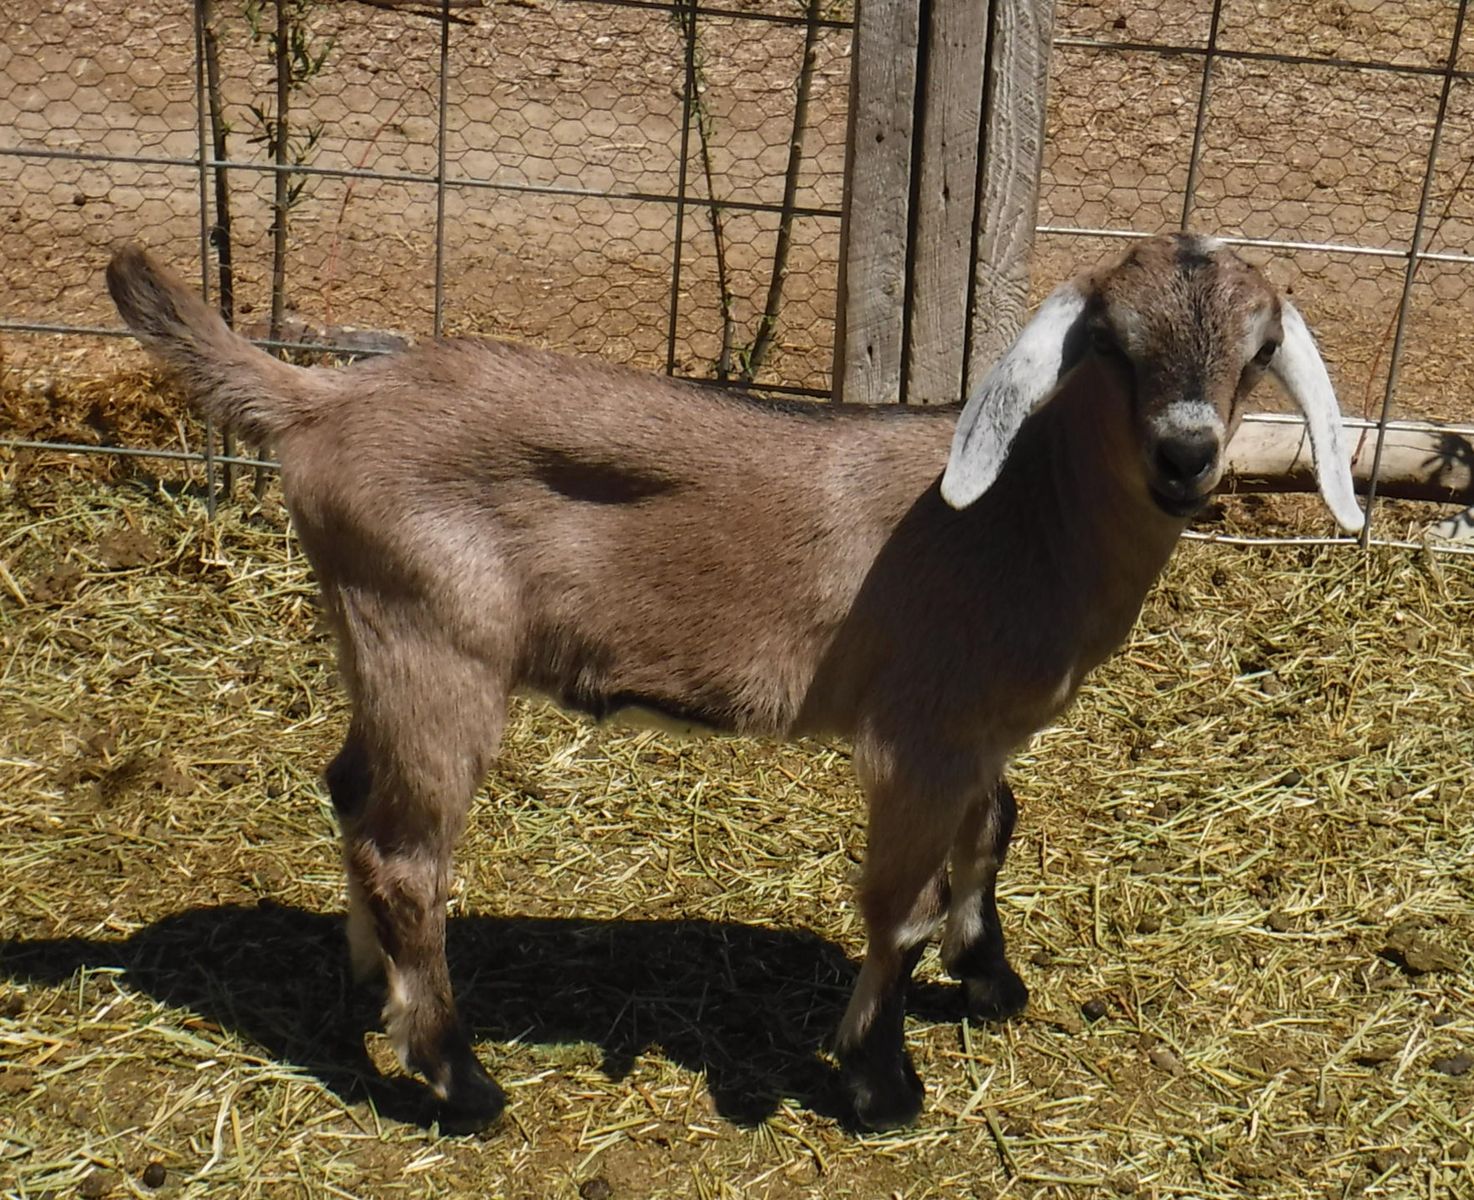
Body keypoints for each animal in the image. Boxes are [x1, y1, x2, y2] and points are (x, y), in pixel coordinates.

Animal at [106, 233, 1363, 1133]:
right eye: (1109, 340)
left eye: (1256, 346)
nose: (1185, 456)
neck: (1023, 518)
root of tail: (324, 401)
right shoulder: (919, 737)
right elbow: (897, 905)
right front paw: (879, 1084)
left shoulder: (982, 737)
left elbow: (994, 832)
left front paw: (991, 978)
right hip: (435, 640)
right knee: (405, 852)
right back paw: (458, 1081)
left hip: (375, 639)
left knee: (350, 795)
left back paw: (376, 999)